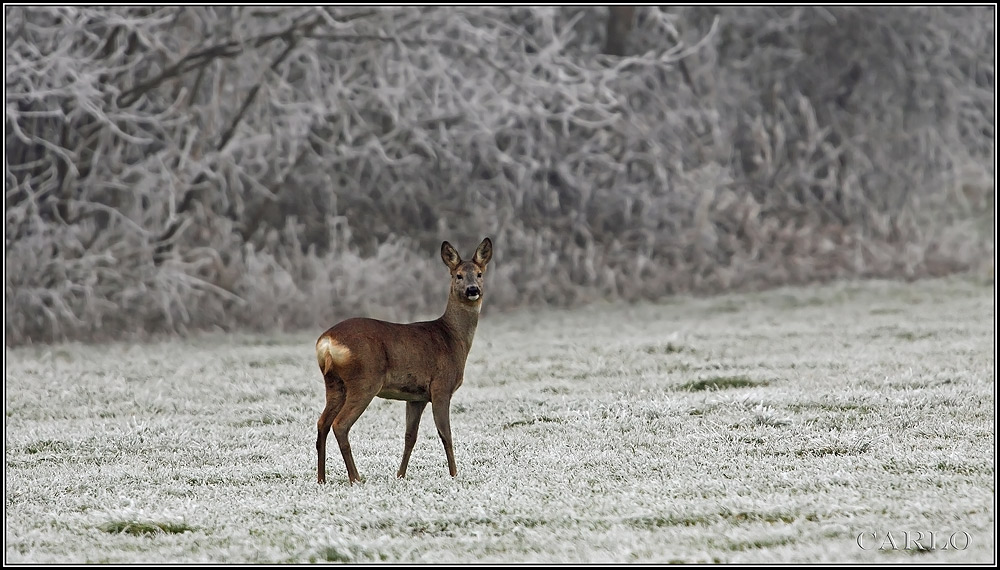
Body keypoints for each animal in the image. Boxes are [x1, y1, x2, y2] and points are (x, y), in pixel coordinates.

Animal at [314, 237, 494, 482]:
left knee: (322, 423)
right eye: (458, 275)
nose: (473, 289)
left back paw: (321, 479)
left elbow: (410, 436)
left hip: (334, 384)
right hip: (365, 380)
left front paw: (400, 475)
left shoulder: (416, 397)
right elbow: (445, 433)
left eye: (479, 273)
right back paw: (356, 478)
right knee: (340, 424)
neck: (452, 338)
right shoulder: (441, 386)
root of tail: (326, 342)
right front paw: (455, 474)